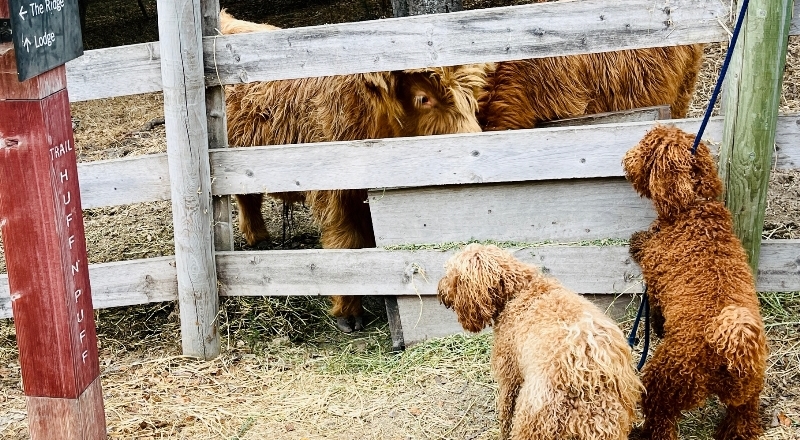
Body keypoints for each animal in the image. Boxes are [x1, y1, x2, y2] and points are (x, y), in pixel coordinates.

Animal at [434, 244, 640, 440]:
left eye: (451, 274)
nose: (440, 291)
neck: (520, 291)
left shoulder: (510, 375)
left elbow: (505, 414)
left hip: (532, 421)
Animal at [624, 124, 768, 440]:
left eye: (645, 147)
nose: (626, 159)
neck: (693, 209)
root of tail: (730, 350)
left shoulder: (655, 277)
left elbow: (655, 303)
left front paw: (637, 241)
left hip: (665, 382)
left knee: (662, 423)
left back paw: (642, 433)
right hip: (749, 392)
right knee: (744, 417)